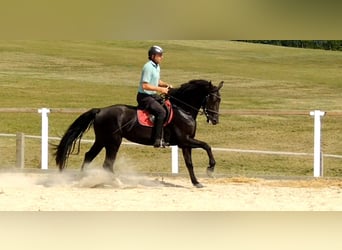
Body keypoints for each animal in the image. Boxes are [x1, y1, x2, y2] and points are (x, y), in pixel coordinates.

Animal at [54, 79, 223, 187]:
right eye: (213, 99)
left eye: (220, 100)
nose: (215, 120)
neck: (183, 110)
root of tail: (100, 110)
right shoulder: (185, 140)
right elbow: (207, 146)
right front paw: (210, 169)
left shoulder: (185, 143)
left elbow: (190, 163)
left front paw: (196, 182)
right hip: (113, 141)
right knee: (107, 163)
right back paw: (116, 182)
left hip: (102, 139)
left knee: (89, 155)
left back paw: (83, 179)